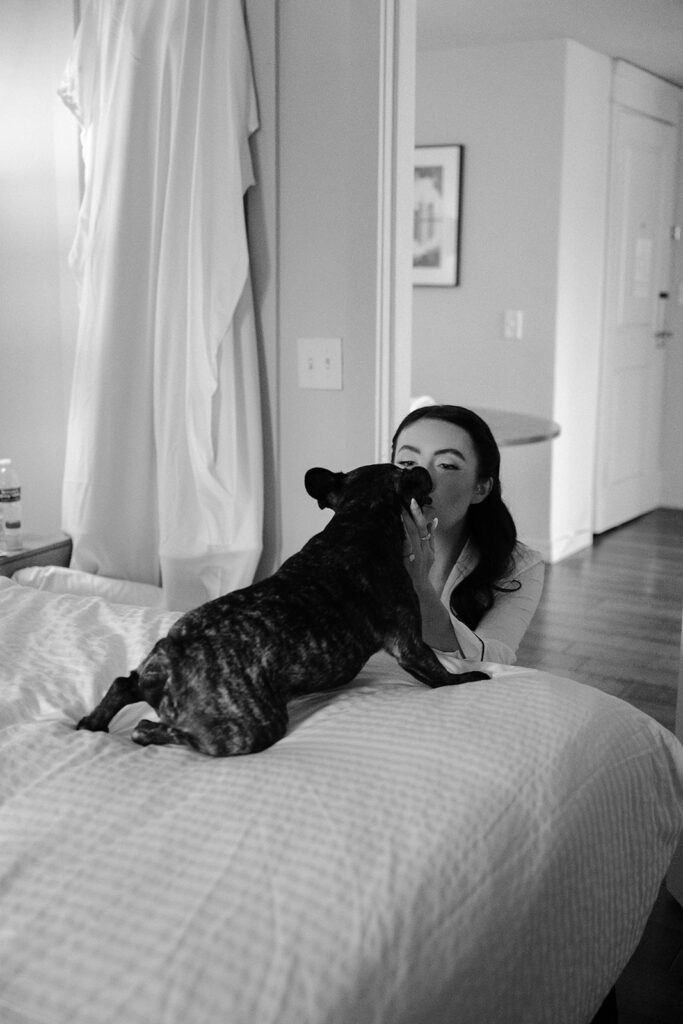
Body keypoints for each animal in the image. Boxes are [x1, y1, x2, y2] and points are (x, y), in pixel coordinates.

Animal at [77, 463, 488, 756]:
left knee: (122, 683)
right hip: (253, 727)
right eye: (408, 474)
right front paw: (471, 678)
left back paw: (92, 722)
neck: (360, 516)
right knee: (165, 732)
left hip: (151, 671)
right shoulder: (409, 643)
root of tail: (173, 661)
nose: (424, 474)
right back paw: (146, 731)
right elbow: (439, 673)